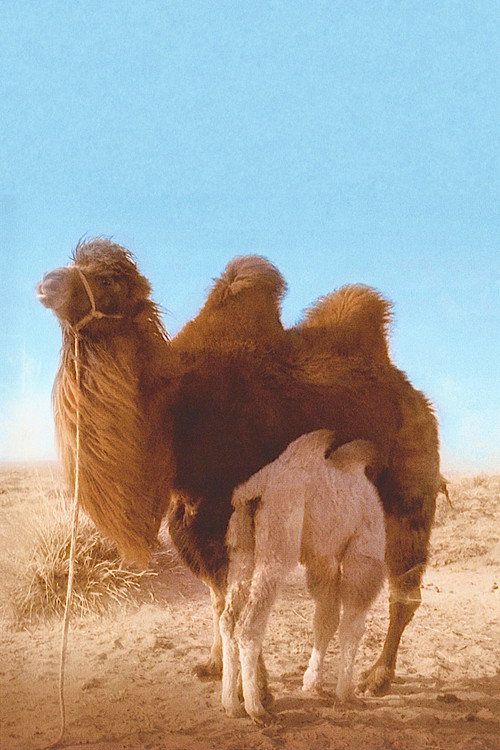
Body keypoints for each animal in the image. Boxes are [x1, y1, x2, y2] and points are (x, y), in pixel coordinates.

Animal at [37, 239, 440, 699]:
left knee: (403, 589)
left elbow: (234, 596)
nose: (46, 283)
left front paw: (256, 689)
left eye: (106, 278)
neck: (175, 406)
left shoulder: (223, 509)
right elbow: (217, 598)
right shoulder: (188, 514)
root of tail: (417, 399)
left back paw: (378, 676)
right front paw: (216, 666)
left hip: (407, 495)